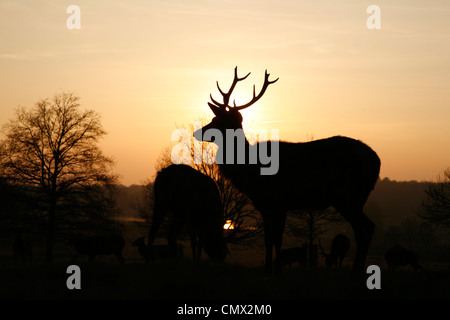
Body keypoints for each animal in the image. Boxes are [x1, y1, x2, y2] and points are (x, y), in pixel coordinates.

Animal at [192, 66, 380, 276]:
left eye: (217, 119)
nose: (197, 132)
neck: (250, 172)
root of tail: (376, 161)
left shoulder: (276, 201)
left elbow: (275, 239)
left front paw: (275, 270)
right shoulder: (271, 205)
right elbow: (271, 239)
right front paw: (271, 269)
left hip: (348, 196)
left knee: (365, 227)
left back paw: (357, 271)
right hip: (357, 198)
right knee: (366, 227)